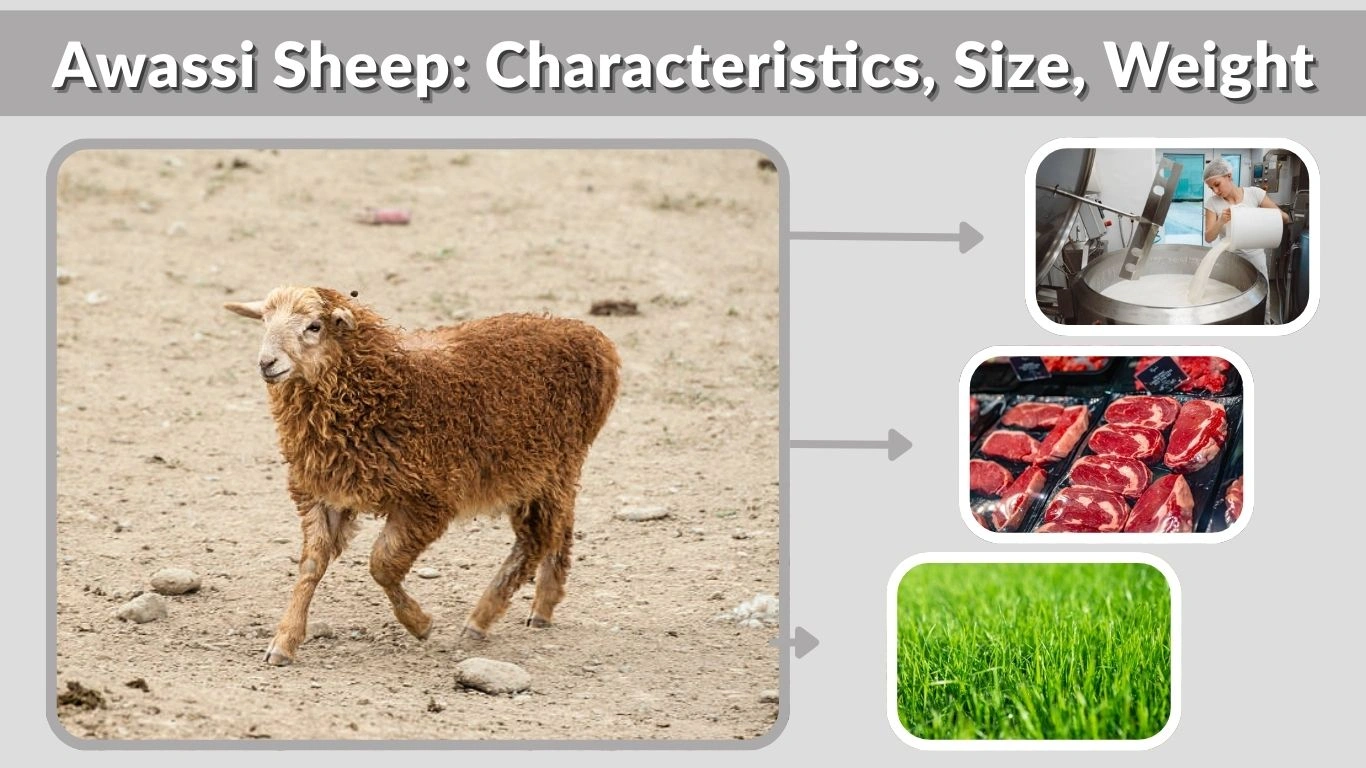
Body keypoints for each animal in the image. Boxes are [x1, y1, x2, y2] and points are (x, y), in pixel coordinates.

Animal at [224, 286, 620, 666]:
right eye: (265, 322)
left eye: (314, 327)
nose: (267, 363)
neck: (386, 390)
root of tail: (593, 338)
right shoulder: (324, 493)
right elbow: (311, 565)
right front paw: (284, 641)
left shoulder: (428, 498)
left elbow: (382, 565)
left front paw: (419, 623)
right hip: (543, 472)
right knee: (560, 528)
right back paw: (542, 607)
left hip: (549, 466)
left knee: (538, 537)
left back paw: (483, 618)